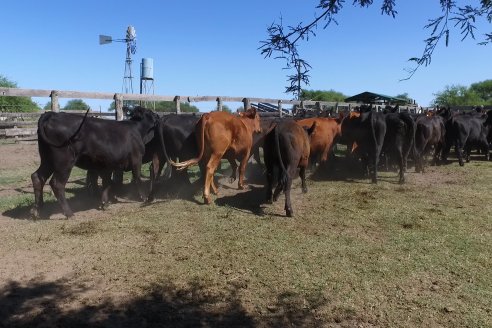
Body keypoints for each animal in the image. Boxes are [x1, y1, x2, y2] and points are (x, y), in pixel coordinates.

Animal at [30, 106, 163, 218]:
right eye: (151, 112)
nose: (158, 116)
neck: (137, 130)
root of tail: (52, 115)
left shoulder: (108, 164)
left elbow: (107, 182)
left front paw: (105, 202)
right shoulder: (136, 159)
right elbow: (137, 178)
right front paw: (144, 197)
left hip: (47, 160)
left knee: (37, 177)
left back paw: (37, 211)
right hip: (64, 162)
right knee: (57, 184)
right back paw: (69, 213)